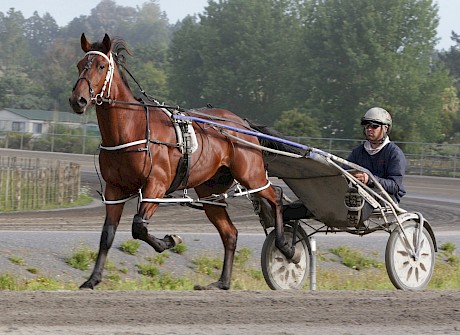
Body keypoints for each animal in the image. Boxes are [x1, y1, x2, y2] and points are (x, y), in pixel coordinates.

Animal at [67, 34, 298, 292]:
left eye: (100, 66)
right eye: (79, 65)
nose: (78, 100)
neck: (131, 129)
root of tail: (243, 123)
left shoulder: (156, 186)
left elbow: (139, 226)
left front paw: (169, 240)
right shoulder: (114, 189)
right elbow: (107, 234)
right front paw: (92, 279)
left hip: (251, 174)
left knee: (275, 197)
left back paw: (285, 246)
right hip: (211, 191)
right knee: (230, 233)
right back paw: (222, 282)